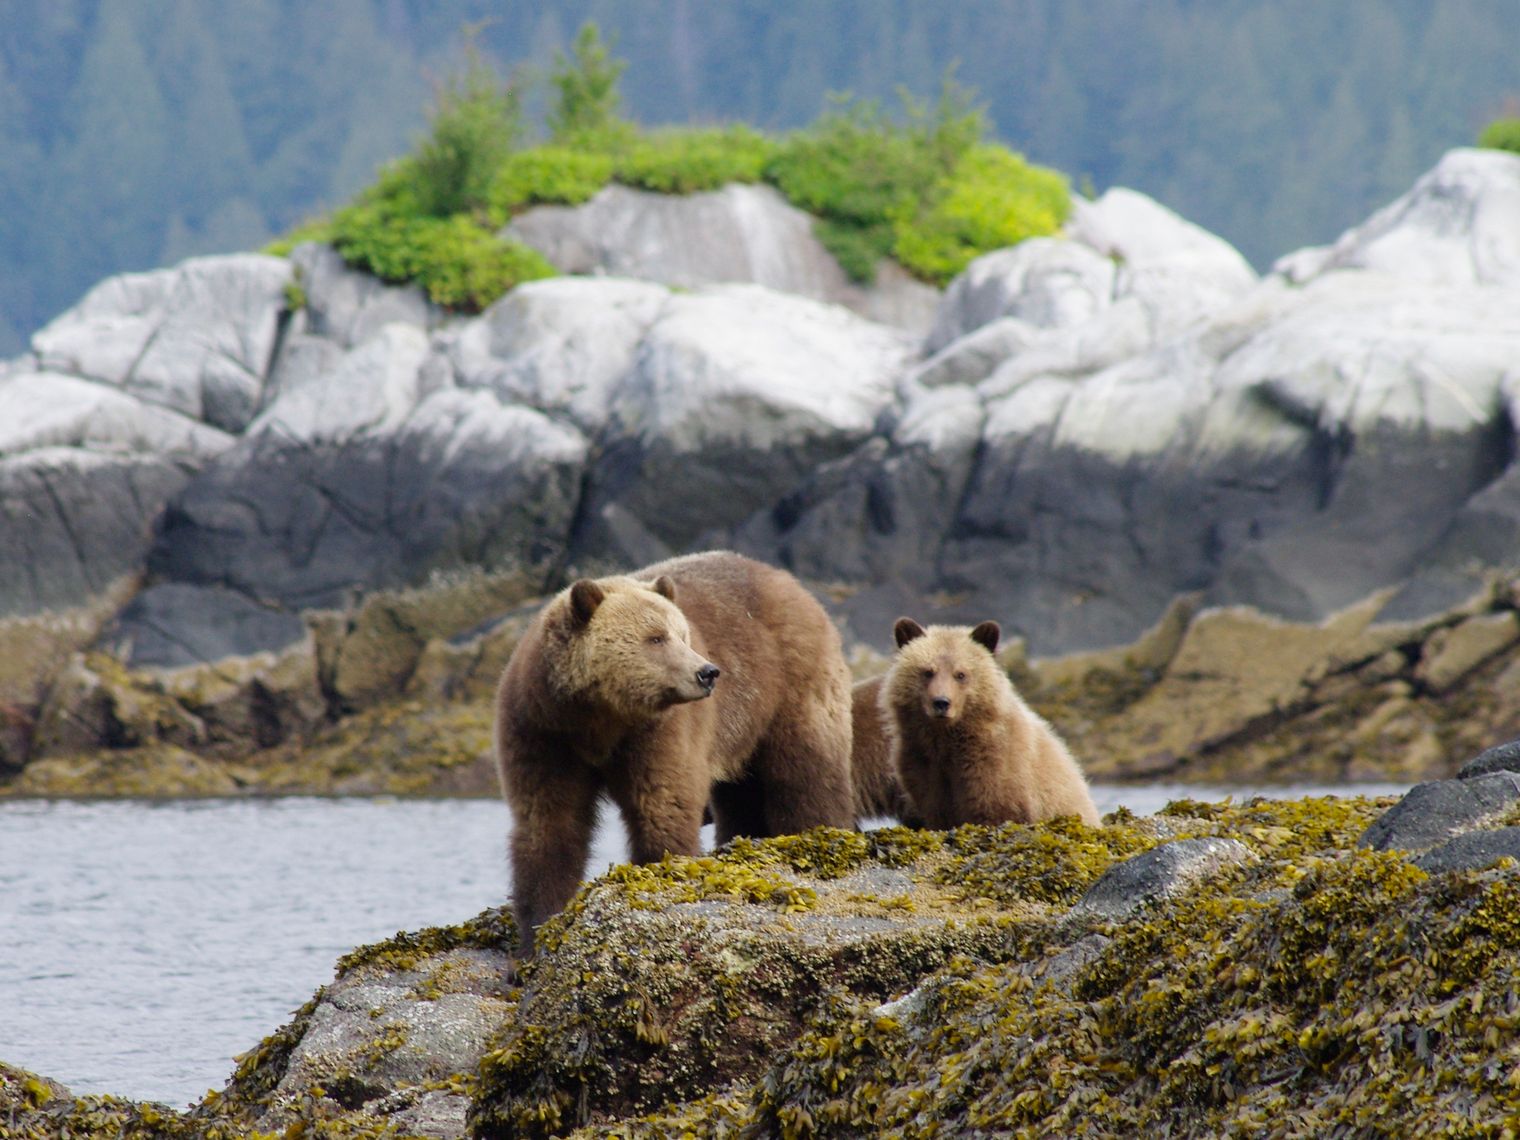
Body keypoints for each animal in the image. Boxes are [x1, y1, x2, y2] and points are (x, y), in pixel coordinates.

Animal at [494, 550, 855, 952]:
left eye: (682, 635)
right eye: (655, 637)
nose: (707, 672)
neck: (600, 717)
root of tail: (790, 582)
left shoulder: (656, 732)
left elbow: (662, 803)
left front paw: (656, 874)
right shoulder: (542, 731)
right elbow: (549, 821)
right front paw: (537, 932)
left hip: (789, 685)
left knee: (806, 772)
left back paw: (818, 834)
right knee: (741, 794)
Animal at [882, 618, 1100, 829]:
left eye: (960, 674)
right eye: (927, 671)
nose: (941, 702)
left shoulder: (997, 765)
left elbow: (994, 809)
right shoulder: (922, 763)